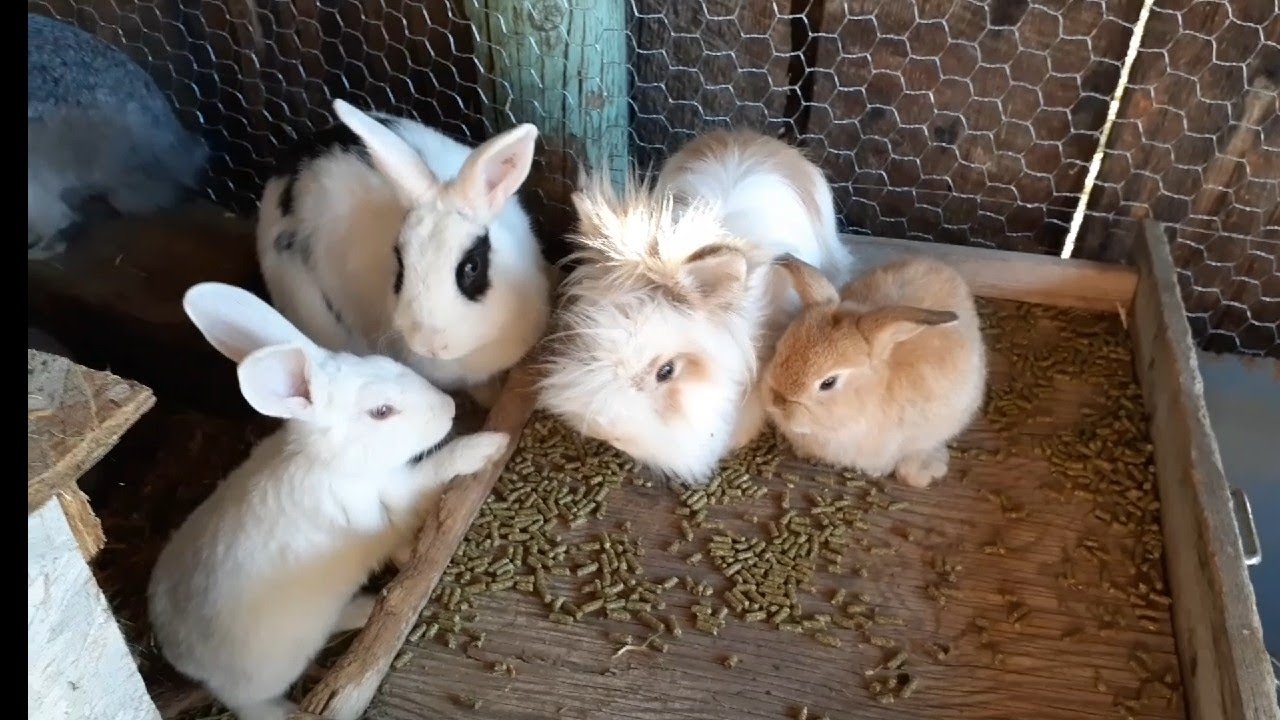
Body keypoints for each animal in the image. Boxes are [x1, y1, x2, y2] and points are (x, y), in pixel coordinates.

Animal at [146, 281, 509, 720]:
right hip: (269, 673)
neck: (330, 461)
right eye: (381, 411)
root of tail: (186, 662)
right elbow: (438, 470)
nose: (449, 407)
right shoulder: (398, 495)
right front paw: (488, 445)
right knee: (253, 705)